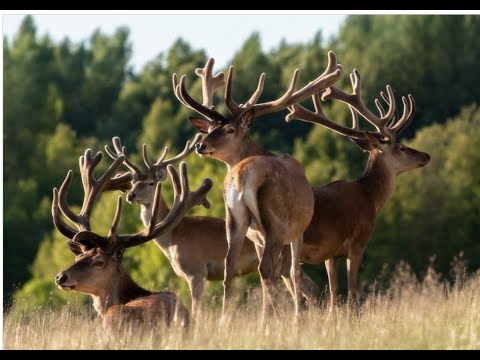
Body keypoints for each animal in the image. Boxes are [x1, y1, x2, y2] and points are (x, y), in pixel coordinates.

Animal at [104, 136, 258, 318]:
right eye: (133, 182)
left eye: (151, 183)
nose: (131, 195)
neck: (173, 238)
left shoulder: (197, 270)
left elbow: (196, 309)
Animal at [174, 54, 344, 318]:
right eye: (211, 128)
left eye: (229, 129)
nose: (200, 145)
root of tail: (242, 176)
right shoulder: (297, 230)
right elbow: (292, 272)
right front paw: (297, 316)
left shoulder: (256, 238)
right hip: (275, 221)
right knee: (267, 270)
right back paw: (274, 317)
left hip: (235, 218)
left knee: (229, 267)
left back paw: (226, 319)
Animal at [284, 68, 432, 306]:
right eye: (401, 148)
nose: (426, 155)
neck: (370, 198)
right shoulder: (357, 243)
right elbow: (352, 292)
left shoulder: (331, 253)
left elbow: (334, 293)